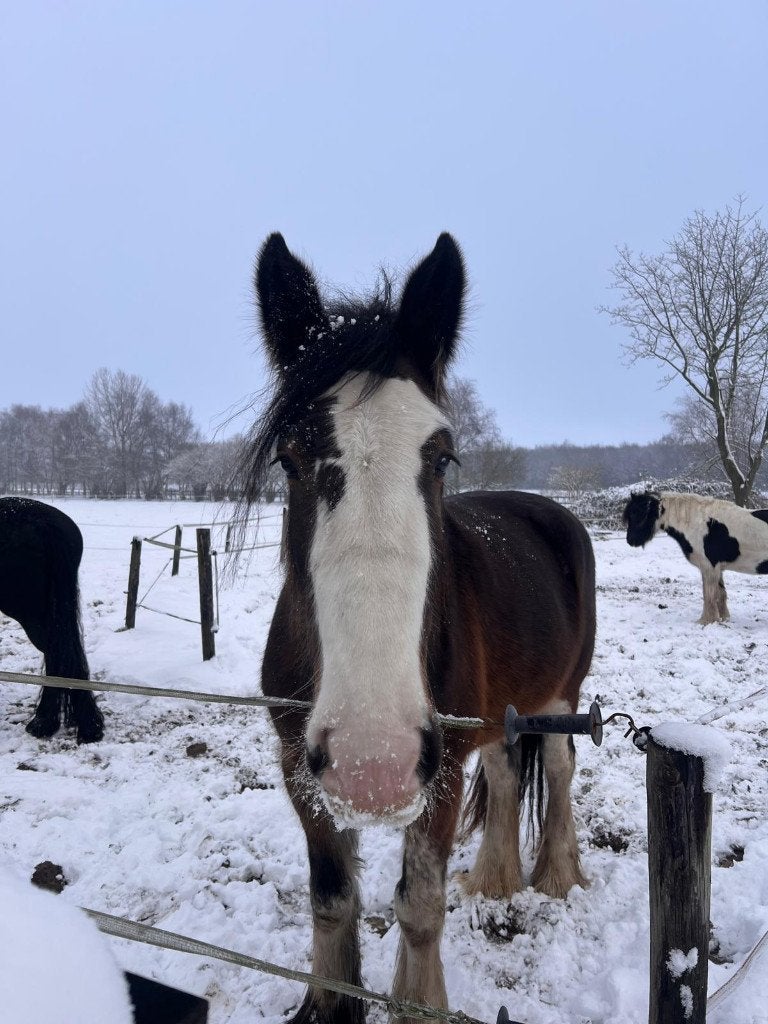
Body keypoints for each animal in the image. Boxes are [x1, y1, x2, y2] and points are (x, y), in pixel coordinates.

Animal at [239, 233, 597, 1023]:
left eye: (441, 455)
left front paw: (417, 1001)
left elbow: (419, 906)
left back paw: (556, 877)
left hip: (561, 697)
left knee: (558, 769)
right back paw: (495, 879)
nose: (373, 761)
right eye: (290, 457)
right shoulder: (299, 764)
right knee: (506, 766)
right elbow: (332, 900)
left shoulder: (438, 771)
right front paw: (329, 1003)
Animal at [623, 489, 768, 625]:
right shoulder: (717, 568)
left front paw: (706, 621)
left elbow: (709, 595)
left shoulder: (709, 567)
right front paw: (723, 619)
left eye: (639, 513)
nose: (630, 541)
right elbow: (720, 594)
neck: (698, 524)